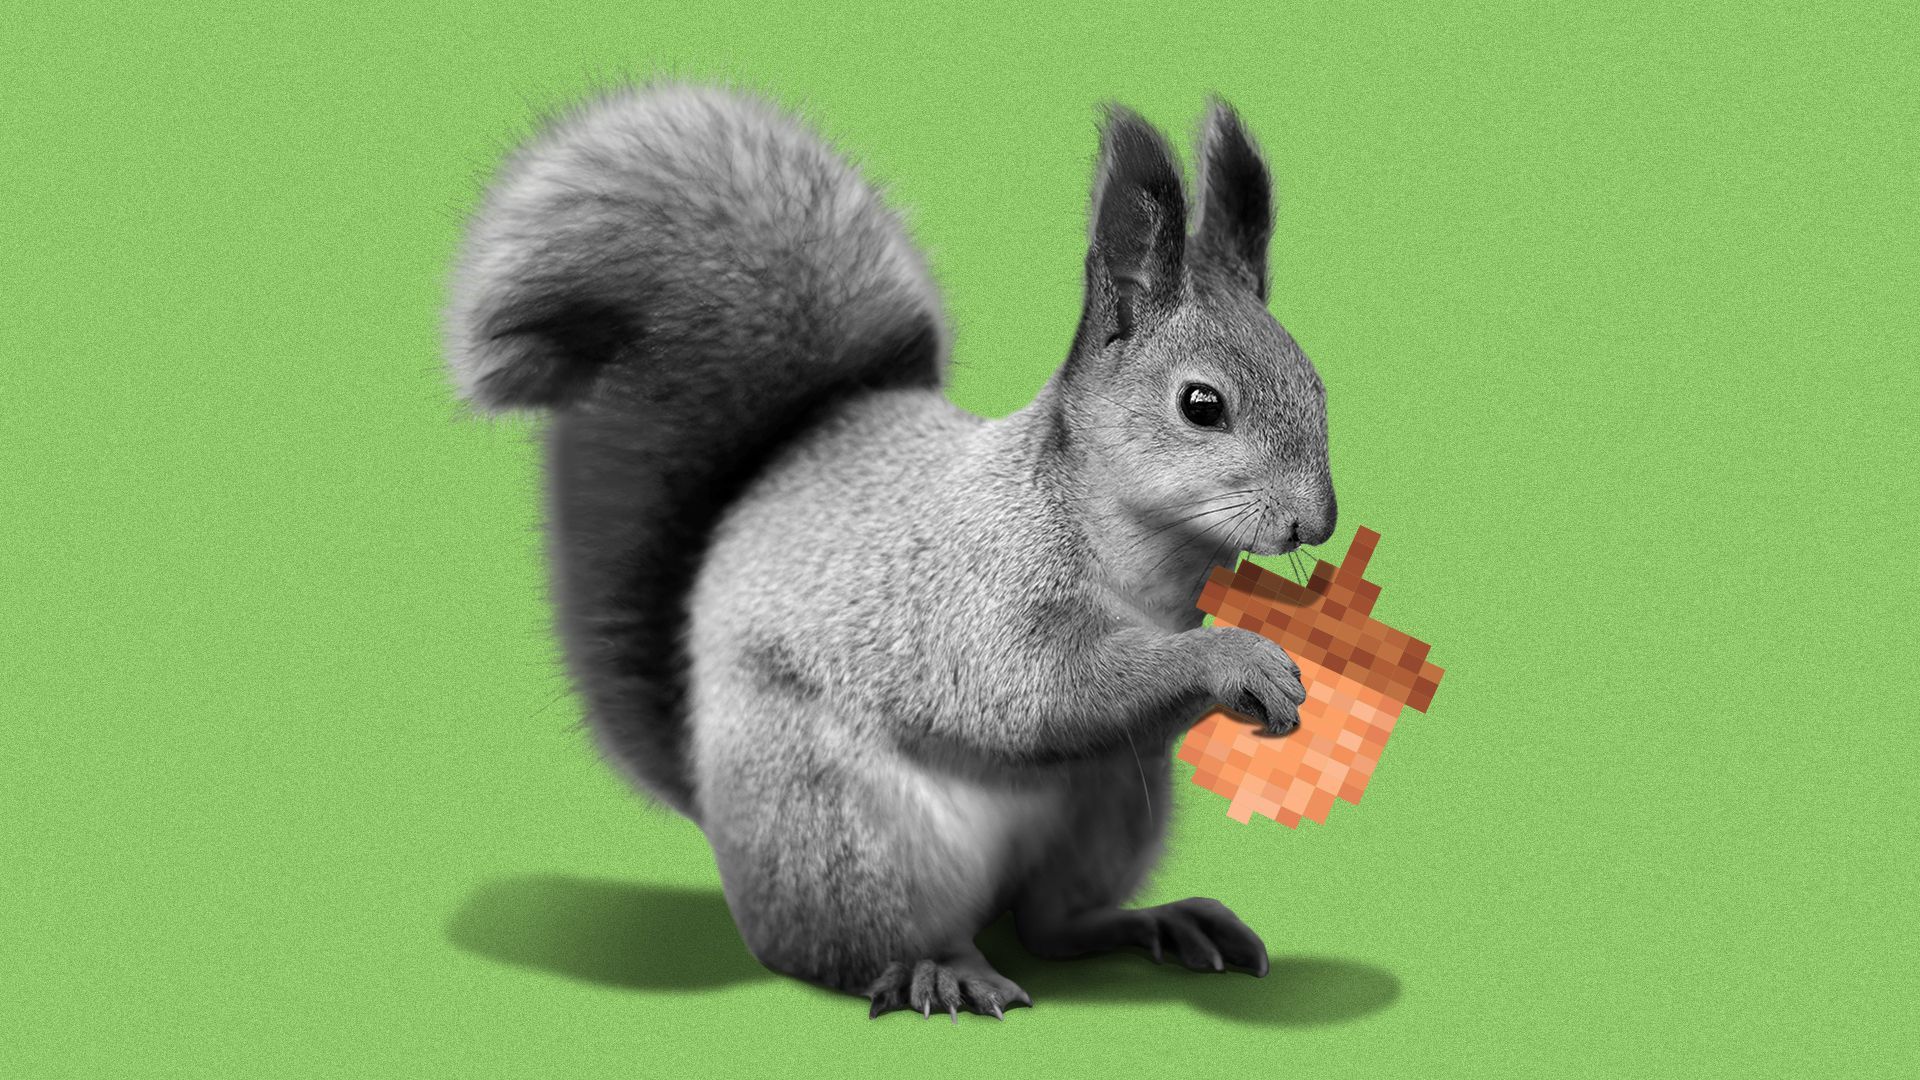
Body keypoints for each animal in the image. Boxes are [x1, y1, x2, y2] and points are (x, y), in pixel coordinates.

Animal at [443, 81, 1337, 1021]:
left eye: (1317, 385)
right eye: (1202, 405)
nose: (1315, 523)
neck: (1141, 558)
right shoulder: (979, 589)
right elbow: (1040, 692)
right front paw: (1238, 659)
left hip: (1114, 806)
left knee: (1054, 923)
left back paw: (1153, 922)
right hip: (846, 833)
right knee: (849, 950)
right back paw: (936, 970)